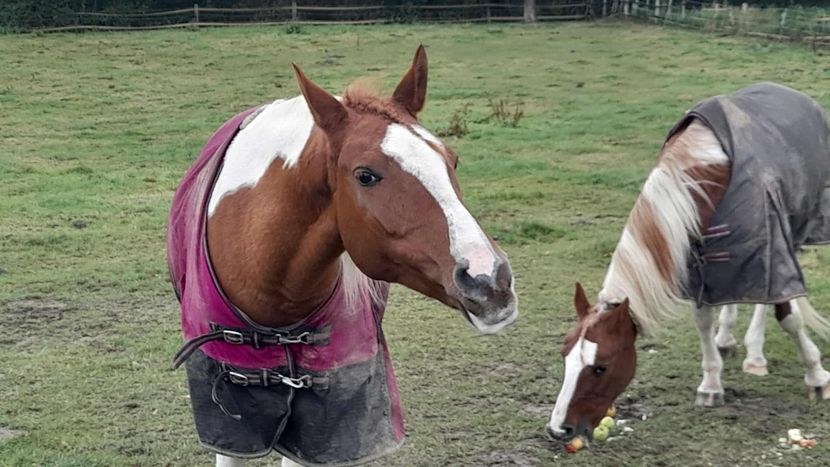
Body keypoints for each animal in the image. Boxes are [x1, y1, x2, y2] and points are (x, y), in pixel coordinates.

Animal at [167, 46, 518, 467]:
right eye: (366, 175)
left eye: (452, 159)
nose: (490, 280)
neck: (269, 286)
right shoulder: (229, 414)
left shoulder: (323, 422)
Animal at [545, 82, 830, 443]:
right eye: (564, 356)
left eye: (600, 367)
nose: (558, 429)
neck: (711, 169)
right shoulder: (698, 263)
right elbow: (703, 318)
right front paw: (711, 383)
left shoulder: (770, 237)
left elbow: (788, 315)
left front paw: (817, 376)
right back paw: (729, 340)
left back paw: (755, 353)